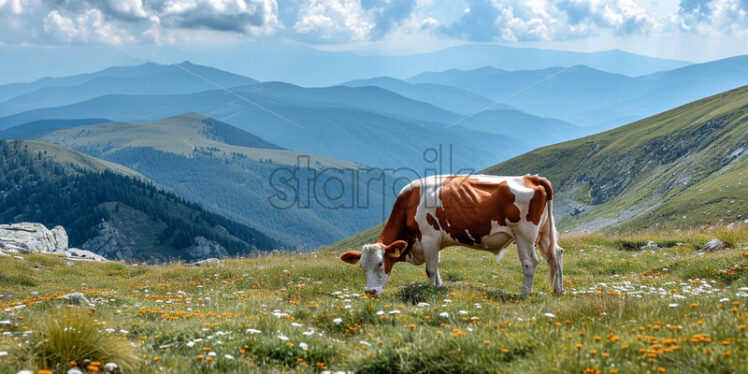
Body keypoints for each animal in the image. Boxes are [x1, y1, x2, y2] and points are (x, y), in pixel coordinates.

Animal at [338, 175, 560, 298]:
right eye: (362, 266)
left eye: (380, 264)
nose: (370, 293)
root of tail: (530, 178)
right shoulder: (435, 243)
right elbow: (436, 268)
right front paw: (440, 288)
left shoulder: (429, 239)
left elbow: (430, 270)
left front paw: (432, 291)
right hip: (545, 232)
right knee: (556, 256)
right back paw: (558, 290)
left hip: (524, 234)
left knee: (530, 263)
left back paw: (524, 294)